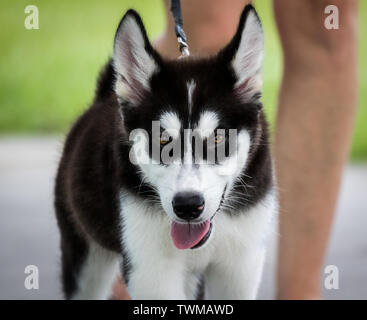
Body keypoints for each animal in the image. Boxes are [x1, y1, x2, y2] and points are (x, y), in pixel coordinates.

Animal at [55, 4, 276, 300]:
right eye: (162, 140)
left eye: (218, 138)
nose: (187, 206)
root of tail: (102, 99)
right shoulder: (150, 270)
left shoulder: (240, 267)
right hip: (84, 253)